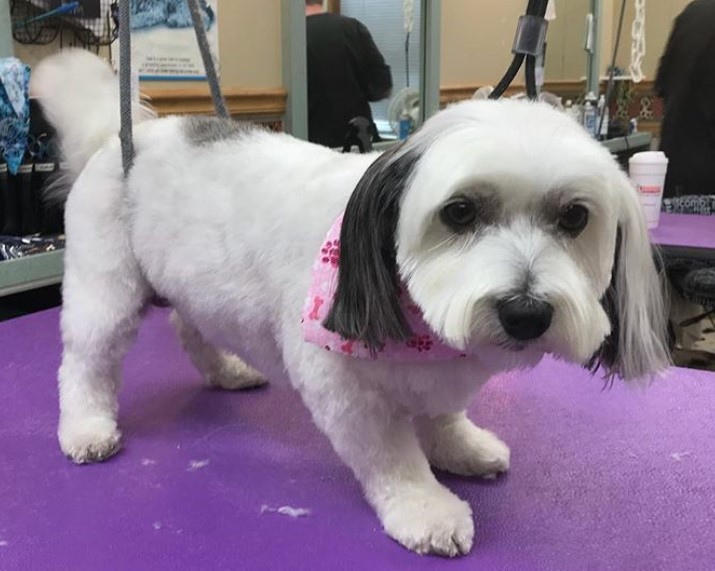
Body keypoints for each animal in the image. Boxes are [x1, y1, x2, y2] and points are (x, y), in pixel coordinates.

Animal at [32, 51, 672, 556]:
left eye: (575, 217)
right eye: (460, 211)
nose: (526, 312)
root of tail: (119, 138)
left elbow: (443, 414)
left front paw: (461, 447)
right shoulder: (339, 384)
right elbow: (390, 456)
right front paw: (426, 508)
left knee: (192, 329)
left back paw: (227, 370)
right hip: (106, 284)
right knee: (85, 360)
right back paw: (87, 427)